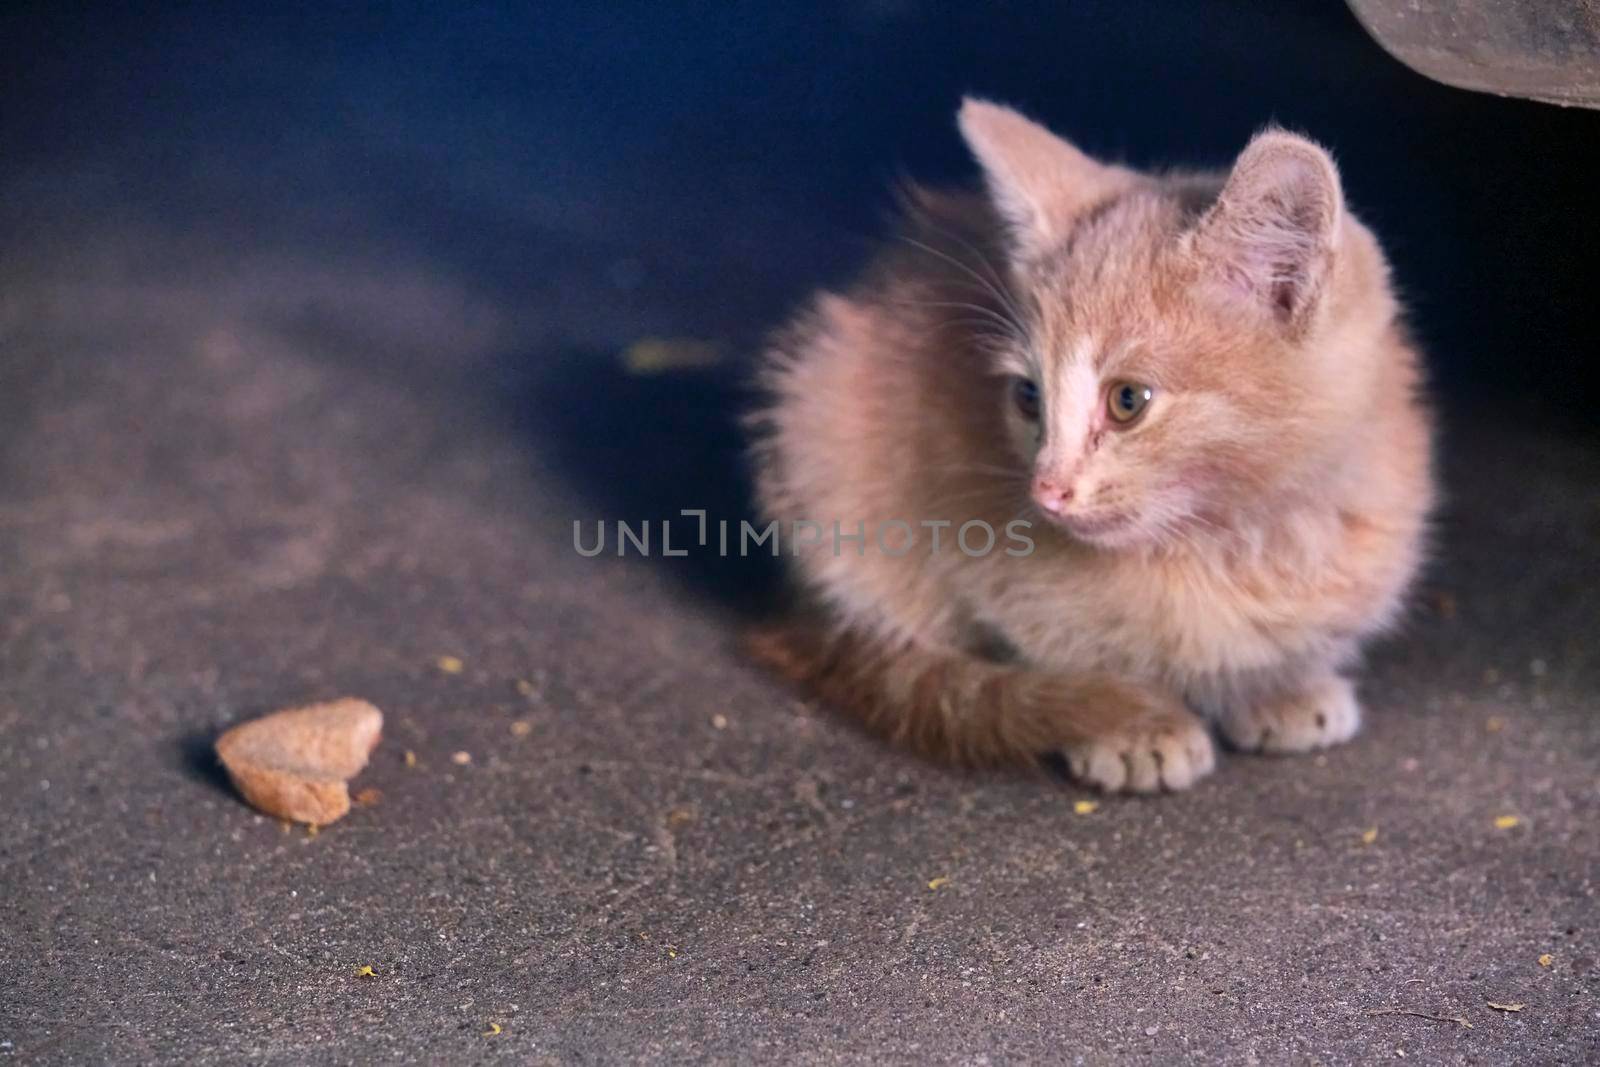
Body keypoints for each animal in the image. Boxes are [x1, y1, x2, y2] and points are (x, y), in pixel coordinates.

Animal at [748, 97, 1440, 793]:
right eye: (1028, 396)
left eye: (1128, 399)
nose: (1046, 489)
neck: (1223, 546)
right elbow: (1056, 640)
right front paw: (1127, 722)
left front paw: (1278, 688)